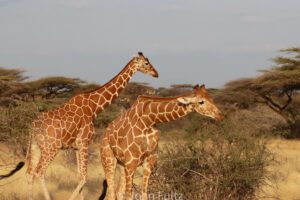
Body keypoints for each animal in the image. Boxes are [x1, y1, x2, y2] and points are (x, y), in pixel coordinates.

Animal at [11, 52, 158, 200]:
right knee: (39, 172)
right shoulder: (84, 142)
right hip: (51, 148)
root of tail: (33, 127)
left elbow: (79, 176)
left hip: (36, 146)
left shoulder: (76, 146)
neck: (93, 108)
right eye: (146, 63)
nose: (155, 73)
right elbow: (83, 178)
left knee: (30, 173)